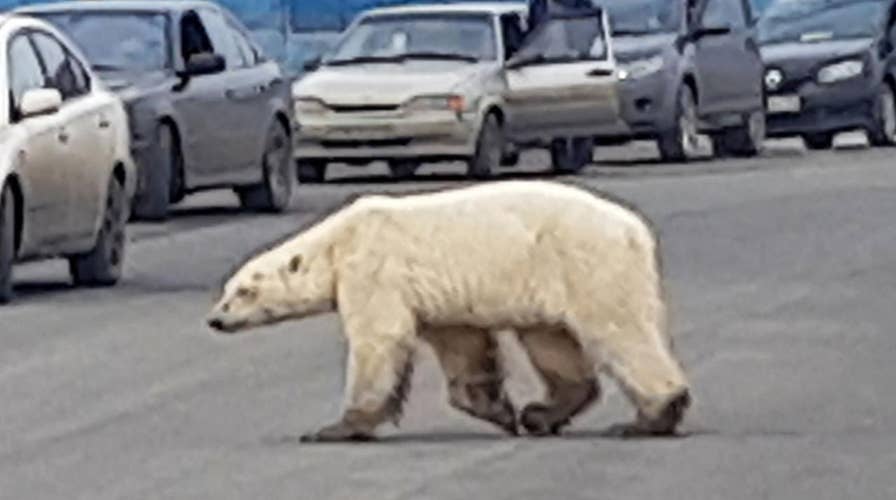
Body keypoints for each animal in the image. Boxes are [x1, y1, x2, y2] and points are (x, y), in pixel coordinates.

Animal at [206, 180, 691, 442]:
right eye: (226, 290)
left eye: (244, 291)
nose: (215, 319)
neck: (339, 240)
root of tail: (637, 230)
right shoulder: (440, 297)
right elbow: (462, 346)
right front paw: (500, 411)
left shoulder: (374, 268)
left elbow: (379, 339)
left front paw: (336, 428)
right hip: (549, 280)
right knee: (552, 341)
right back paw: (541, 414)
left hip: (587, 262)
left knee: (618, 330)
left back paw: (651, 417)